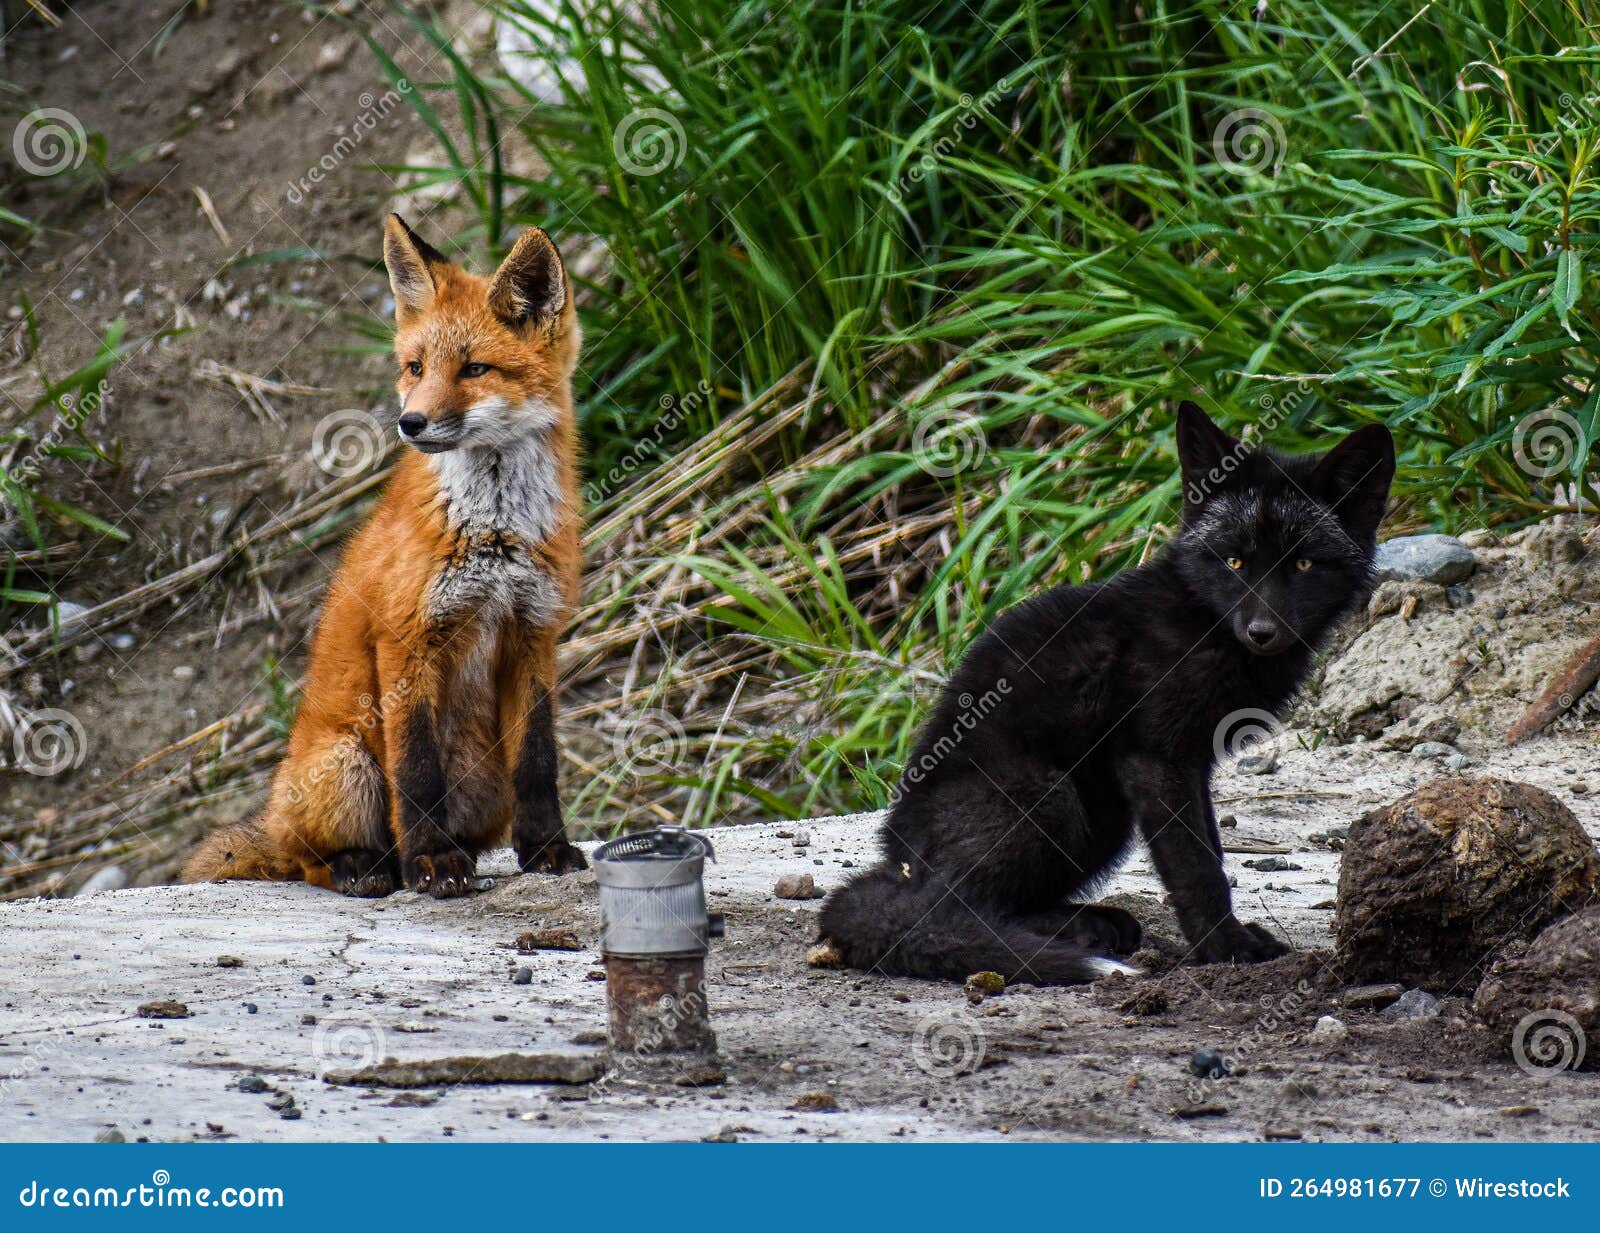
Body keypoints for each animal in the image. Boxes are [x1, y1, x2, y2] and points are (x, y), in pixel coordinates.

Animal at [182, 214, 588, 897]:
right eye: (415, 367)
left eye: (475, 369)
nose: (411, 423)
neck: (493, 531)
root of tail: (274, 814)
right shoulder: (406, 640)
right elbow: (416, 773)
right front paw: (431, 863)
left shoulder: (534, 633)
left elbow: (539, 764)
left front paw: (546, 849)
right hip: (345, 765)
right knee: (308, 861)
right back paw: (369, 867)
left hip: (488, 783)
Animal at [819, 403, 1395, 983]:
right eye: (1235, 562)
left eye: (1303, 564)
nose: (1262, 631)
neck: (1202, 624)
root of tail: (900, 862)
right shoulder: (1154, 759)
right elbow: (1197, 869)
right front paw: (1225, 947)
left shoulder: (1193, 763)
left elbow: (1211, 849)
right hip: (1054, 800)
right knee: (949, 911)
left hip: (1105, 815)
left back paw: (1090, 925)